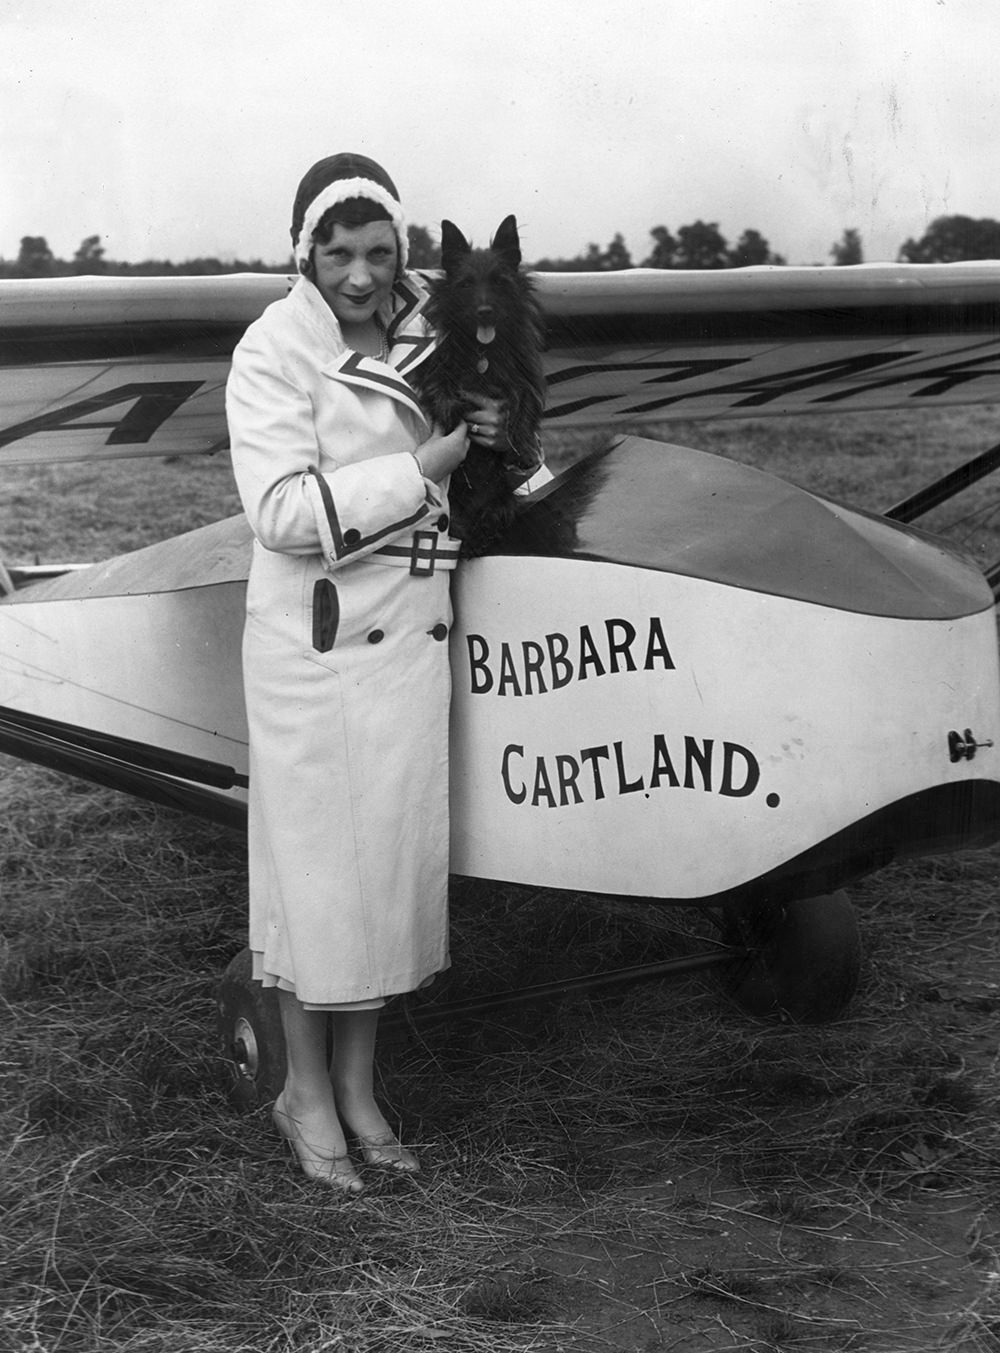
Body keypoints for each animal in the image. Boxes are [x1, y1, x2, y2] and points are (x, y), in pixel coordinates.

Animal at [411, 216, 543, 554]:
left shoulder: (524, 377)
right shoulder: (438, 369)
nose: (485, 311)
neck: (482, 350)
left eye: (499, 282)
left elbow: (524, 403)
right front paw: (454, 411)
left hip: (501, 505)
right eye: (466, 284)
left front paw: (520, 443)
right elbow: (440, 389)